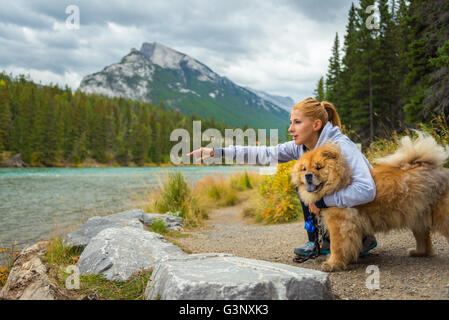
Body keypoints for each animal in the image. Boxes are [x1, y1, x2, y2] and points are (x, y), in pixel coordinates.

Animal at [290, 132, 448, 272]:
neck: (339, 182)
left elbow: (336, 246)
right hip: (416, 215)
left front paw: (333, 264)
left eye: (318, 167)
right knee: (423, 238)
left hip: (438, 217)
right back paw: (418, 252)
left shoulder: (339, 223)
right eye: (304, 169)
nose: (308, 175)